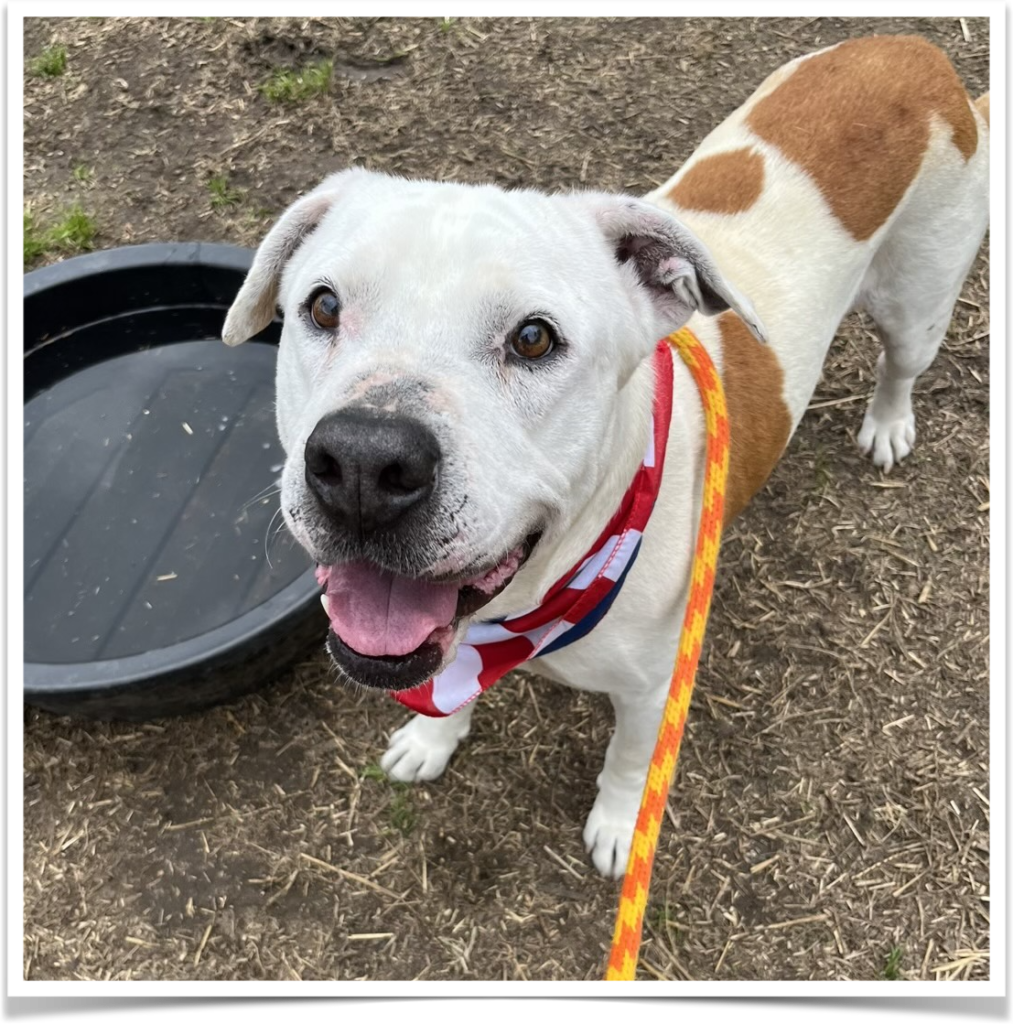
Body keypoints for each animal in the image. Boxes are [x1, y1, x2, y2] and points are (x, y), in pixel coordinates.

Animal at [221, 36, 987, 876]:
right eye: (322, 306)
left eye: (533, 338)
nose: (363, 464)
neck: (532, 601)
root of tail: (908, 48)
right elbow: (442, 687)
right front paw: (430, 738)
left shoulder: (653, 691)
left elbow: (627, 761)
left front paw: (621, 827)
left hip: (919, 299)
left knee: (901, 363)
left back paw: (886, 422)